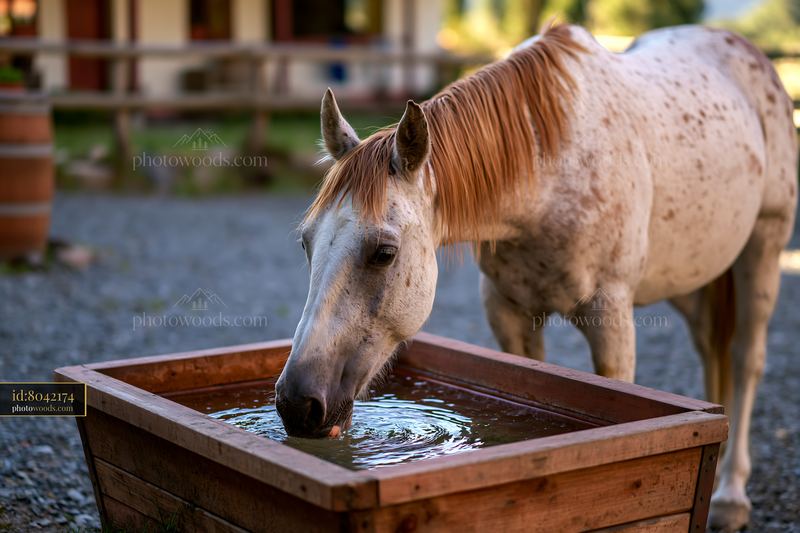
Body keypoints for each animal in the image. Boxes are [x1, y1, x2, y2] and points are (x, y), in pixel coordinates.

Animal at [274, 24, 798, 531]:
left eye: (384, 253)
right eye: (305, 243)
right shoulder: (509, 311)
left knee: (746, 358)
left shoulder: (611, 316)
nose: (298, 402)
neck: (550, 173)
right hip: (693, 272)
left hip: (763, 248)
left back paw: (730, 495)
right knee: (711, 349)